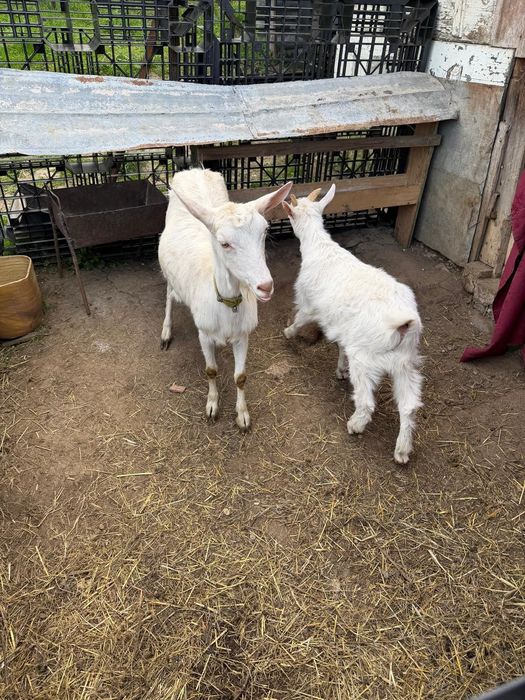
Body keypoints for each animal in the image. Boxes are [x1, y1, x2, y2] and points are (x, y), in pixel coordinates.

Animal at [158, 168, 292, 430]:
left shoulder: (243, 335)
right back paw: (166, 332)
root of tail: (193, 170)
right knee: (169, 292)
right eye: (224, 243)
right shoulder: (204, 332)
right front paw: (212, 406)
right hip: (169, 271)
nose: (265, 286)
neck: (227, 304)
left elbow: (240, 377)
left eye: (265, 232)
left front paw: (242, 415)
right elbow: (211, 370)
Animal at [282, 185, 423, 463]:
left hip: (366, 359)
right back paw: (402, 450)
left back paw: (355, 425)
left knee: (367, 402)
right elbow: (339, 346)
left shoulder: (309, 304)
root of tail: (403, 325)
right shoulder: (342, 326)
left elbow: (300, 318)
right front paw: (340, 369)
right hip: (405, 364)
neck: (321, 248)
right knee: (409, 406)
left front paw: (288, 332)